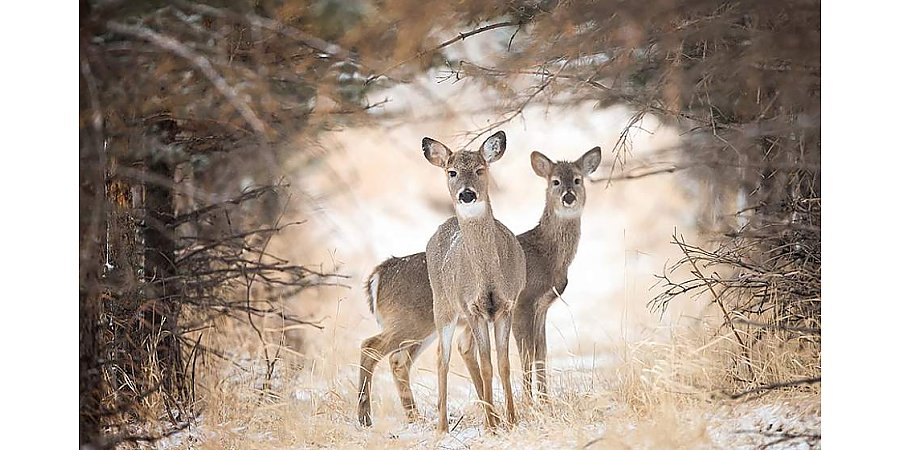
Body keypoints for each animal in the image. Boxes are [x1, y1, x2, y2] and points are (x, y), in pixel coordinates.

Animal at [356, 142, 600, 428]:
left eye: (578, 179)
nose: (568, 197)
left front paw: (545, 403)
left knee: (399, 359)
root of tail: (377, 276)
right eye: (555, 181)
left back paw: (415, 416)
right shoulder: (523, 304)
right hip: (411, 321)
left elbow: (540, 352)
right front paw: (530, 405)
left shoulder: (541, 308)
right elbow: (526, 354)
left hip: (421, 328)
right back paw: (366, 416)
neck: (546, 255)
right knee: (371, 347)